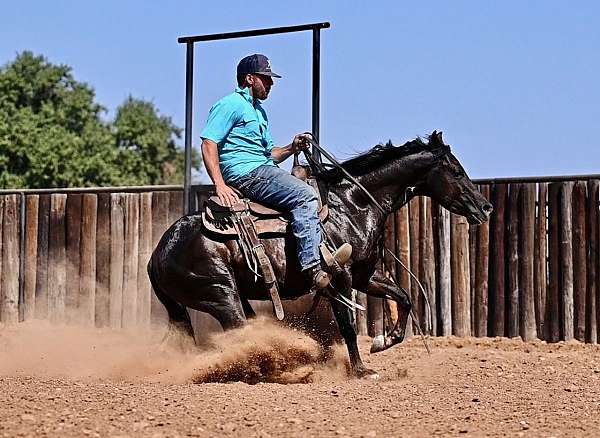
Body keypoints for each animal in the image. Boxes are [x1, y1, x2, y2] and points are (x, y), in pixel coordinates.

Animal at [149, 132, 492, 378]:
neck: (354, 204)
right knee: (239, 333)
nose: (485, 207)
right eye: (456, 171)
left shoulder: (364, 275)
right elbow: (348, 325)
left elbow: (404, 297)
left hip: (233, 298)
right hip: (221, 295)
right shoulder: (339, 278)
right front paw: (361, 370)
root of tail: (158, 254)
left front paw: (383, 342)